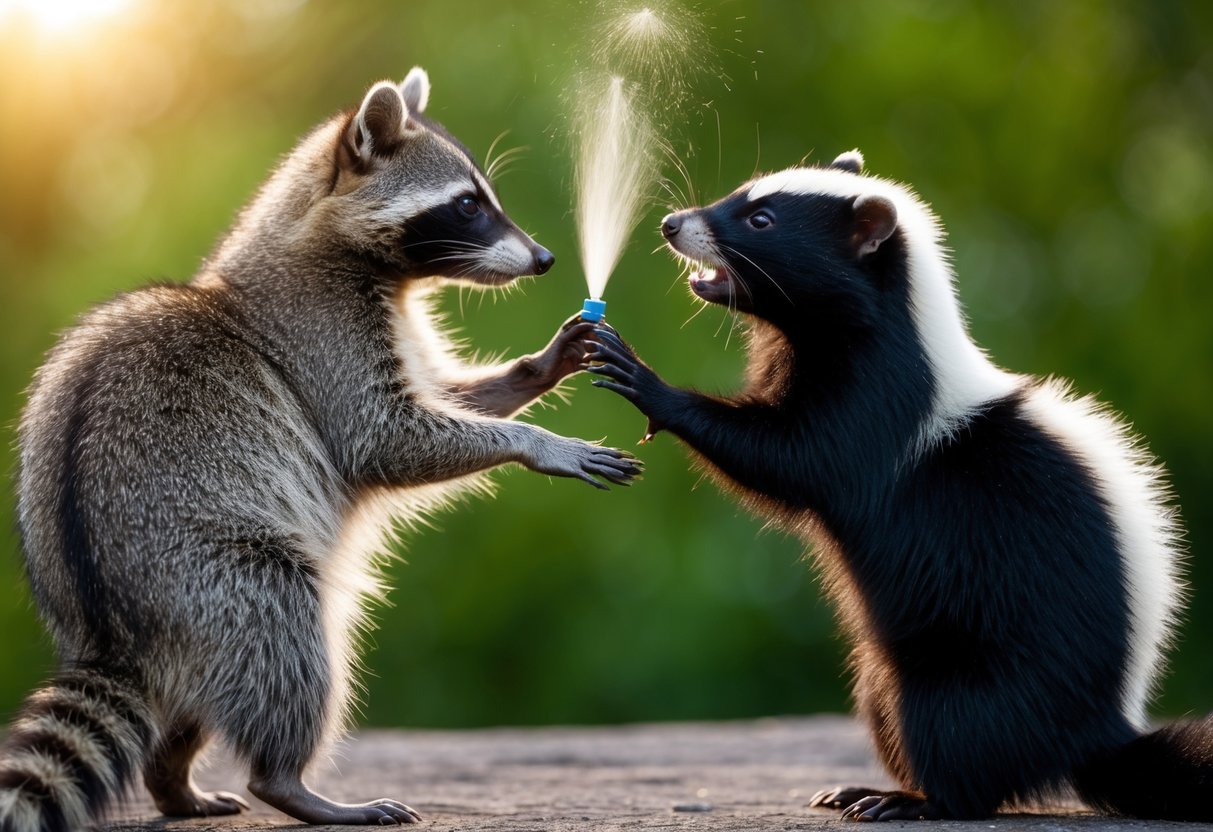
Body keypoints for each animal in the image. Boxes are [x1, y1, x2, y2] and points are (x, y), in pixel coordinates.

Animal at [1, 68, 639, 832]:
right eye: (466, 206)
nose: (544, 259)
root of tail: (111, 633)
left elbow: (446, 396)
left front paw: (536, 369)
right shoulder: (323, 335)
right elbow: (384, 440)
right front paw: (535, 442)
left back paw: (173, 776)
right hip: (210, 578)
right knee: (286, 631)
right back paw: (288, 782)